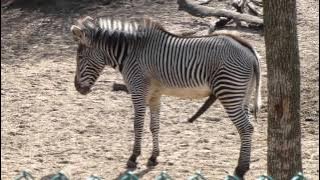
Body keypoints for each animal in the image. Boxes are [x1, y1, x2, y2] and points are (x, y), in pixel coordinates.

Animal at [70, 15, 260, 179]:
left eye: (80, 56)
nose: (77, 88)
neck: (131, 53)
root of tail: (249, 49)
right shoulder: (155, 94)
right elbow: (154, 126)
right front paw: (153, 157)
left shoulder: (138, 90)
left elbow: (138, 125)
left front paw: (134, 157)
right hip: (242, 95)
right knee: (248, 127)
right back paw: (245, 165)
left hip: (229, 92)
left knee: (246, 128)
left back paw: (241, 169)